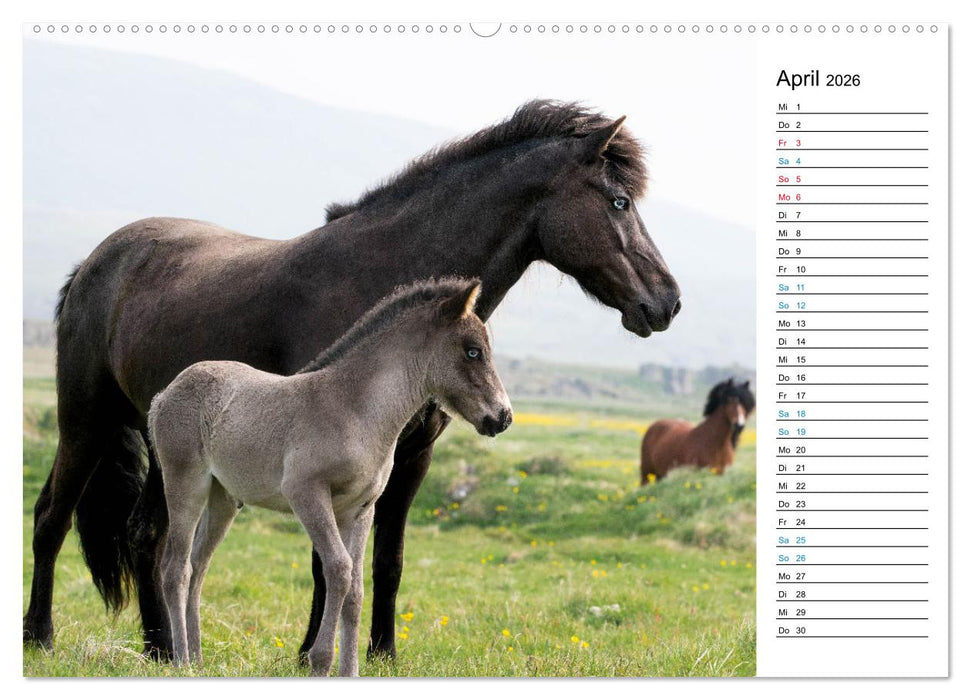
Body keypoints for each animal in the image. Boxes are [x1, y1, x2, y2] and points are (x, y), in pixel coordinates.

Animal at [149, 278, 510, 676]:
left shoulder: (361, 508)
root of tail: (164, 394)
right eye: (473, 351)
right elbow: (337, 568)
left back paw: (198, 660)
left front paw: (349, 670)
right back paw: (182, 660)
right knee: (176, 568)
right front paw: (320, 661)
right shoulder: (306, 494)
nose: (503, 416)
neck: (355, 410)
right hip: (185, 484)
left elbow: (355, 587)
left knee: (200, 566)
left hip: (223, 499)